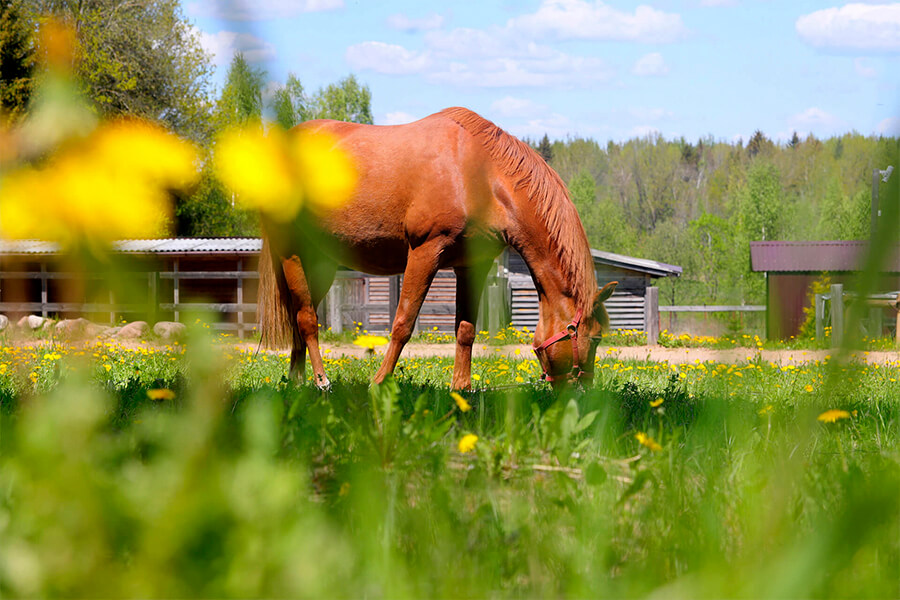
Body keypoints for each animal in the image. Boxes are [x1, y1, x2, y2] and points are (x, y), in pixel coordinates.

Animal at [256, 107, 616, 390]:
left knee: (300, 318)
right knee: (306, 319)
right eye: (596, 337)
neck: (481, 176)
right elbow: (403, 323)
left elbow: (466, 330)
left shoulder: (472, 266)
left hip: (322, 261)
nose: (583, 391)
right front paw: (379, 382)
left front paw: (462, 389)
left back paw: (298, 382)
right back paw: (321, 381)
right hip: (292, 252)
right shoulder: (425, 251)